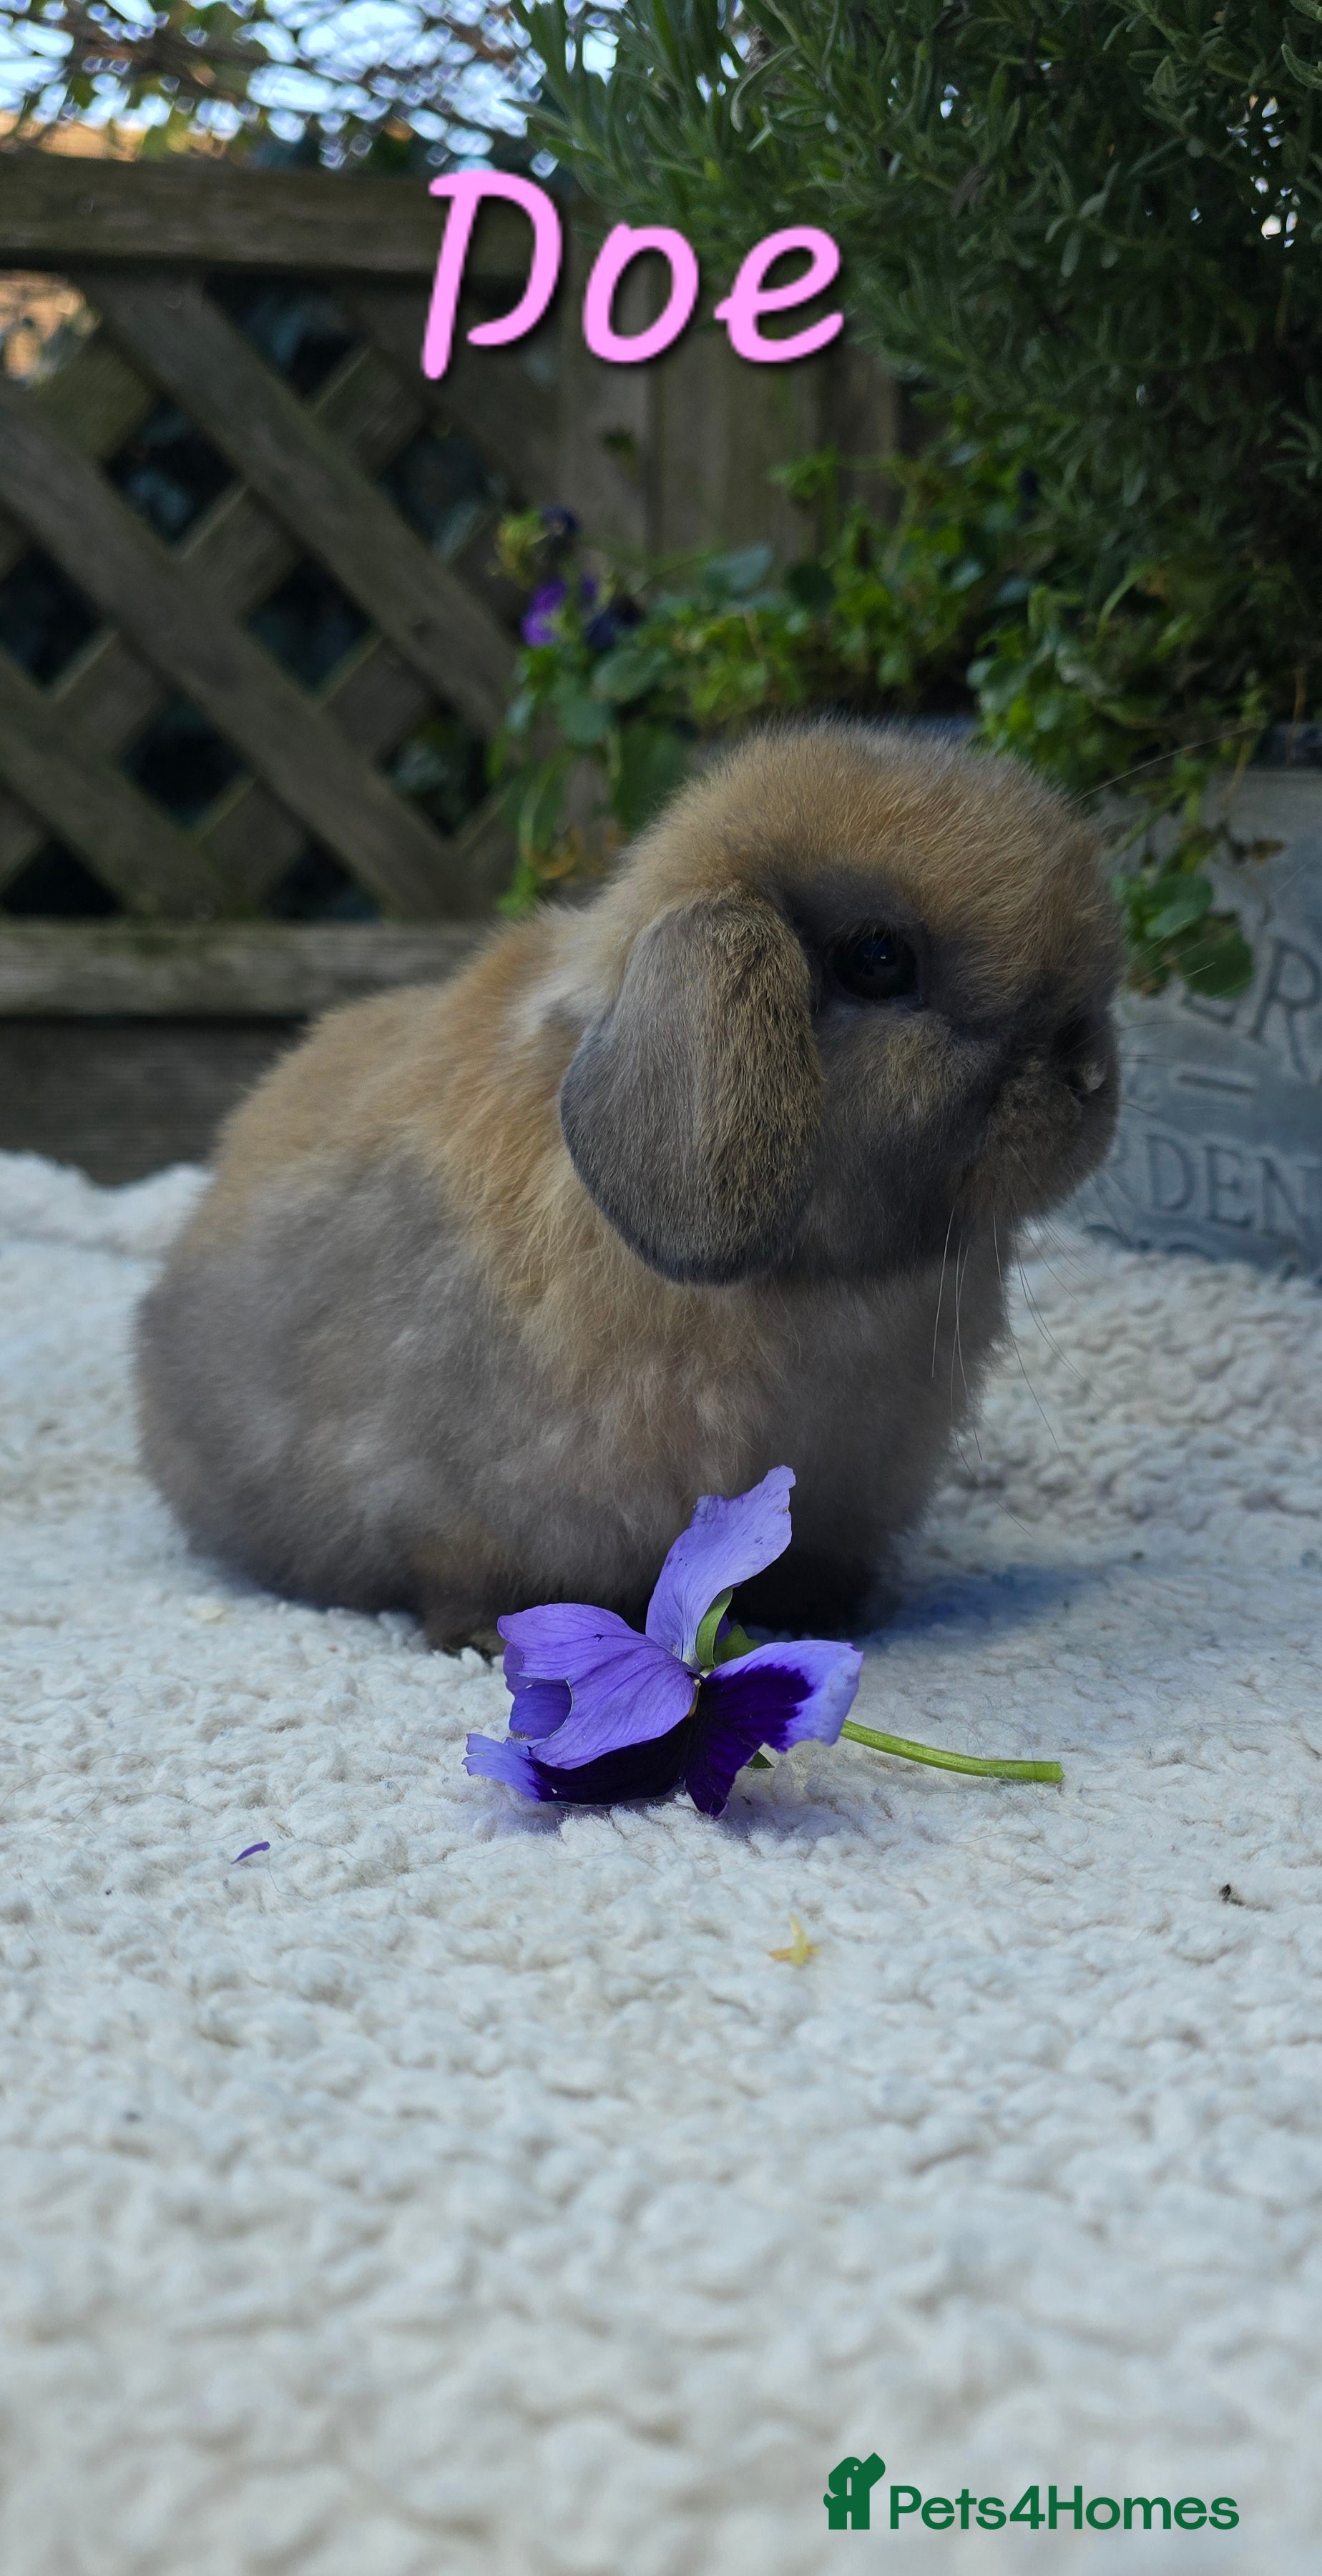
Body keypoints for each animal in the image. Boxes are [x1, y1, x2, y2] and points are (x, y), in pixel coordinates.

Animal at [136, 719, 1120, 1649]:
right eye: (878, 958)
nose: (1091, 1073)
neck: (819, 1283)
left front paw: (835, 1616)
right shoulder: (452, 1503)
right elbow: (464, 1572)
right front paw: (488, 1639)